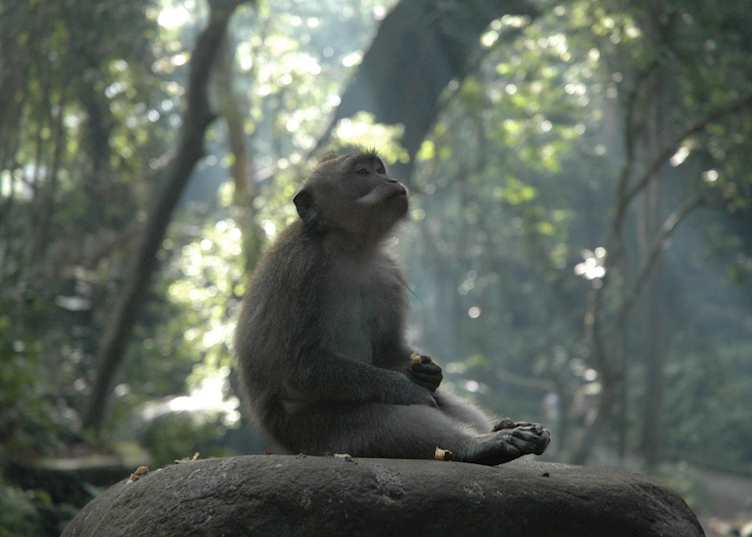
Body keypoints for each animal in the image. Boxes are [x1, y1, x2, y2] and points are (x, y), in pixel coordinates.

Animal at [234, 150, 550, 465]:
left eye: (379, 170)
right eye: (363, 173)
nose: (392, 180)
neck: (351, 249)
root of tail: (282, 444)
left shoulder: (389, 274)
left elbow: (387, 350)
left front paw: (428, 373)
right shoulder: (301, 269)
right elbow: (302, 365)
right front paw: (406, 387)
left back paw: (505, 431)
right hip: (316, 433)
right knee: (390, 421)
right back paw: (481, 445)